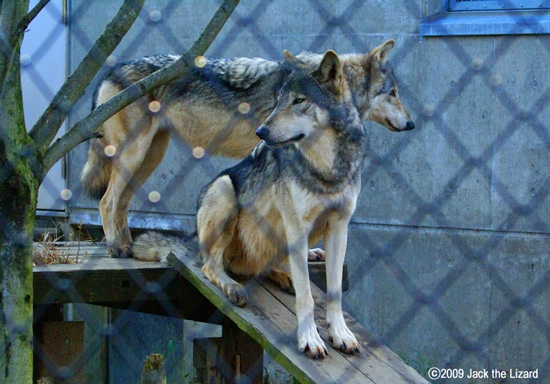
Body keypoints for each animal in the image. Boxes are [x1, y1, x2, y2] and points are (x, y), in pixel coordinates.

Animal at [82, 39, 416, 258]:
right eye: (393, 94)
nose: (412, 124)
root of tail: (109, 72)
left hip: (148, 158)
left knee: (122, 202)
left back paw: (129, 245)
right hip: (134, 155)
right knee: (107, 201)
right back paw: (114, 247)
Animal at [135, 48, 370, 360]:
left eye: (299, 101)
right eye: (279, 101)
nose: (261, 132)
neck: (326, 169)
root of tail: (193, 236)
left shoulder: (339, 226)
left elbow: (333, 294)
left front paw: (340, 334)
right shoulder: (297, 226)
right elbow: (307, 299)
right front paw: (310, 338)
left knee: (268, 266)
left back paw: (286, 274)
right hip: (224, 191)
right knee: (211, 265)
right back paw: (235, 287)